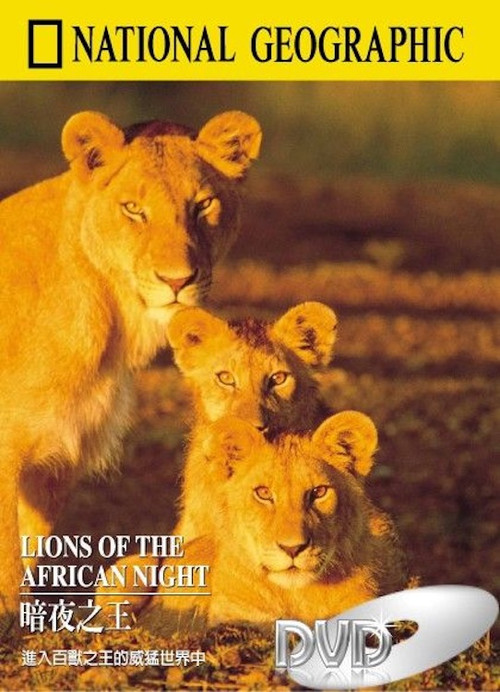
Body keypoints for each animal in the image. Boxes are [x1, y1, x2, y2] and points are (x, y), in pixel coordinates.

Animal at [95, 411, 406, 634]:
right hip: (137, 563)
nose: (293, 549)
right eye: (263, 493)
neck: (296, 595)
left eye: (319, 492)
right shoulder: (236, 618)